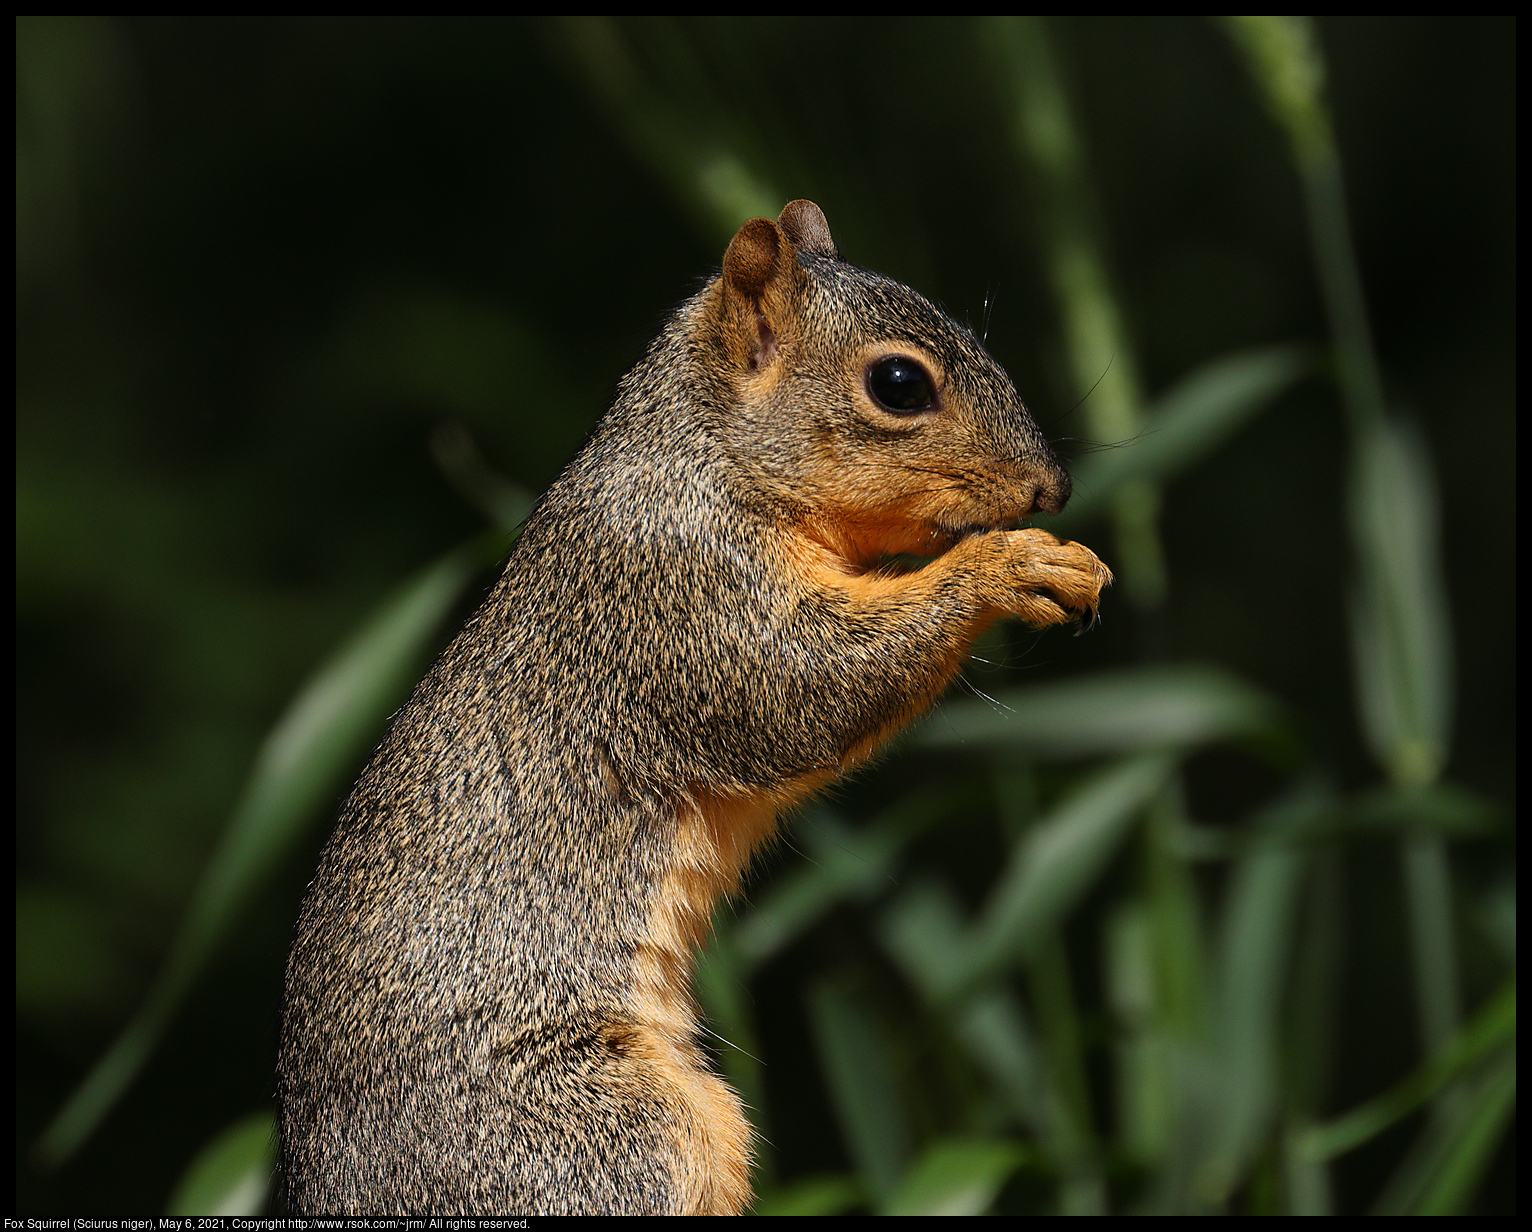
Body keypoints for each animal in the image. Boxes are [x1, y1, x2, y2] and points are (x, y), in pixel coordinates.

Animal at [278, 202, 1115, 1213]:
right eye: (900, 384)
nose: (1052, 490)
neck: (707, 457)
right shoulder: (680, 597)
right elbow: (802, 684)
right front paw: (1006, 565)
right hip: (602, 1140)